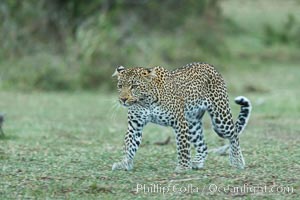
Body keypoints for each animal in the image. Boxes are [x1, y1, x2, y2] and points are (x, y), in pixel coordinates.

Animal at [111, 61, 252, 171]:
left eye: (134, 86)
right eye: (120, 86)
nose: (123, 99)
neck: (145, 101)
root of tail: (209, 65)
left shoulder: (179, 122)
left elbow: (183, 146)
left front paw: (183, 167)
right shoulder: (135, 125)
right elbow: (129, 145)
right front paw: (124, 163)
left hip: (220, 118)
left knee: (234, 134)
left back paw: (237, 160)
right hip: (192, 123)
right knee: (203, 145)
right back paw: (197, 162)